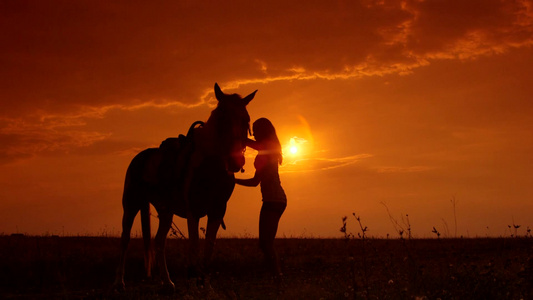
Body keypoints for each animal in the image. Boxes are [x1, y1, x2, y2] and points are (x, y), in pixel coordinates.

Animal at [112, 82, 256, 290]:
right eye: (222, 118)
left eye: (246, 119)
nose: (236, 161)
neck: (210, 163)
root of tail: (140, 158)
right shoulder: (193, 211)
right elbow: (194, 244)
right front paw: (194, 278)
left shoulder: (217, 211)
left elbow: (209, 246)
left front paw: (204, 281)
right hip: (131, 205)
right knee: (125, 239)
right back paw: (119, 281)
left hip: (165, 211)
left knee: (159, 241)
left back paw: (168, 282)